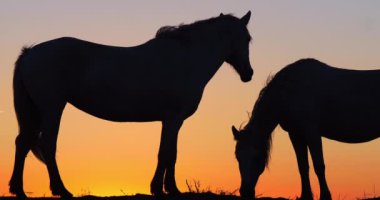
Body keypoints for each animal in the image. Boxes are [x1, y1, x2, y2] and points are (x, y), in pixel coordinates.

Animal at [9, 11, 252, 198]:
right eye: (246, 38)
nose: (248, 73)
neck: (187, 59)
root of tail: (30, 53)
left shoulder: (175, 121)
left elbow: (172, 153)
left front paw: (170, 189)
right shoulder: (172, 119)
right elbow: (165, 153)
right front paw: (161, 189)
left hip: (35, 111)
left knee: (23, 143)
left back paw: (18, 190)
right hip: (51, 109)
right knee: (48, 145)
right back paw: (61, 190)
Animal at [232, 58, 380, 199]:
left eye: (257, 157)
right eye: (238, 157)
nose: (245, 192)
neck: (290, 90)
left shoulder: (312, 132)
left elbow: (319, 165)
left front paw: (325, 196)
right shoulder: (295, 134)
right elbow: (302, 166)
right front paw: (306, 195)